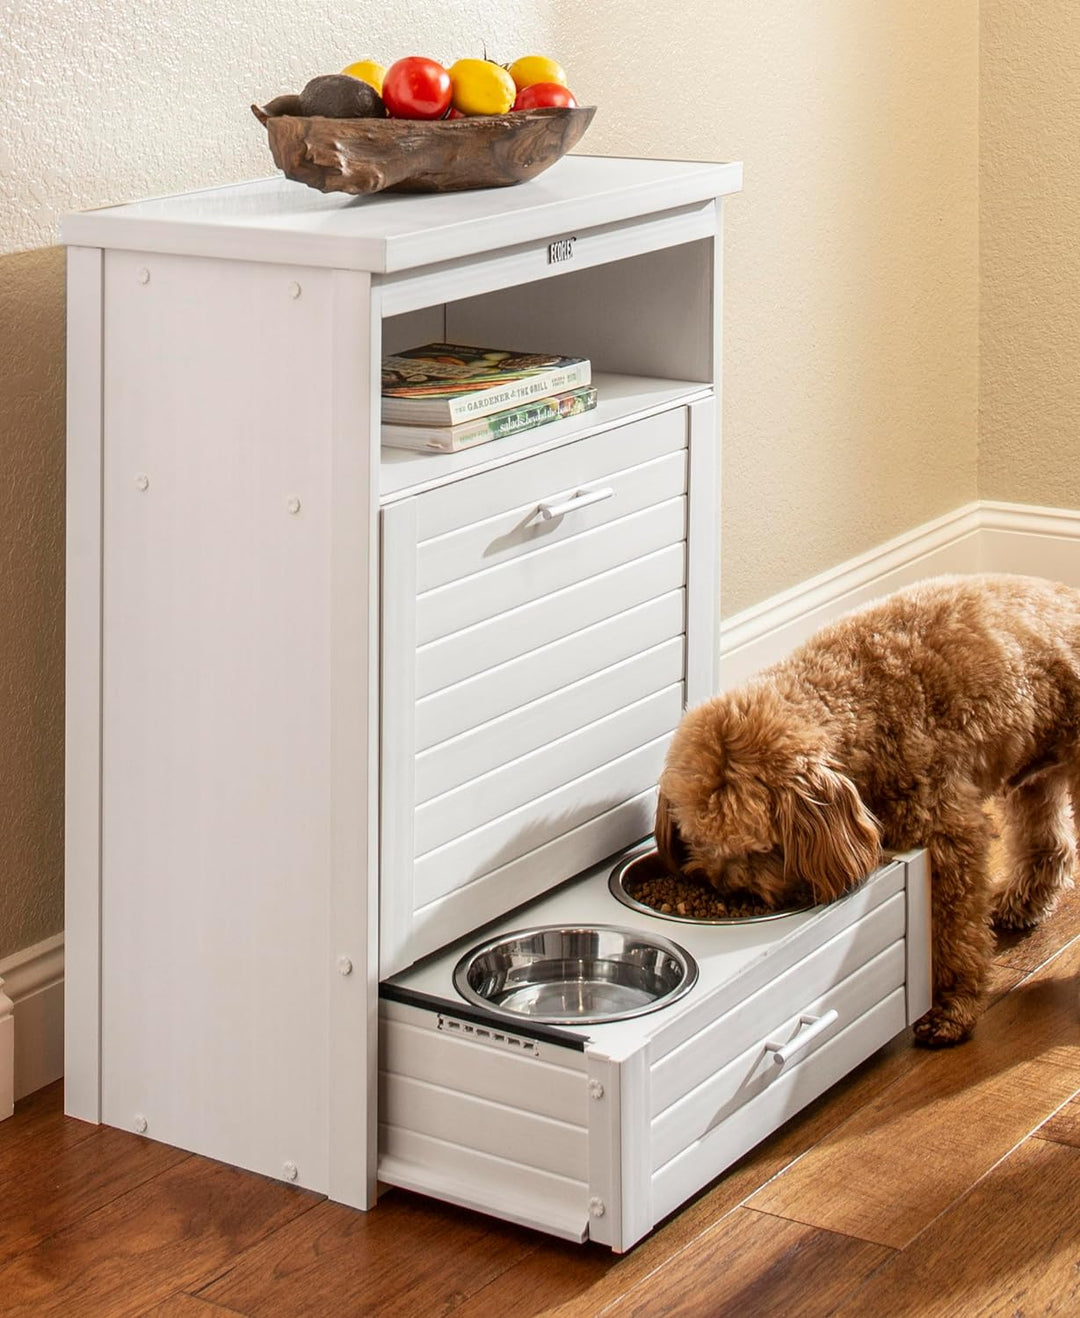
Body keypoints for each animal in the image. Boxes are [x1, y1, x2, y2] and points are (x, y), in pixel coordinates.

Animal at [654, 572, 1080, 1043]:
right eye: (699, 840)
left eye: (760, 847)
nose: (728, 890)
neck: (859, 703)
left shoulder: (948, 841)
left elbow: (953, 933)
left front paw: (951, 1008)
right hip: (1034, 770)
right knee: (1051, 845)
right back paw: (1022, 904)